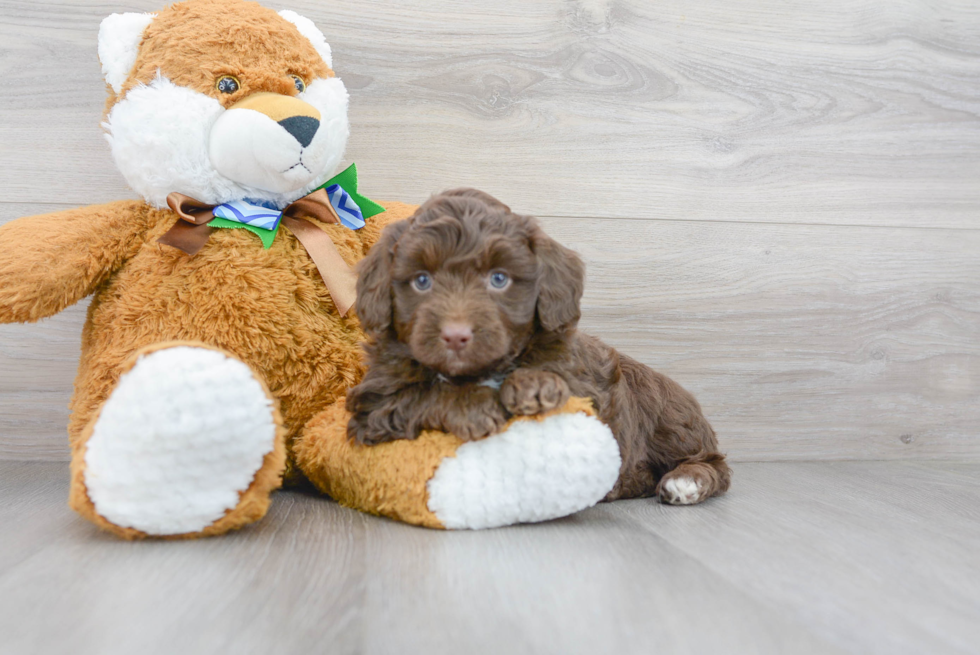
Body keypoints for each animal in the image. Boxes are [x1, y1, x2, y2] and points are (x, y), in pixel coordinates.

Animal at [348, 190, 732, 508]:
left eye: (498, 278)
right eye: (422, 281)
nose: (456, 335)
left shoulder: (582, 387)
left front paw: (532, 384)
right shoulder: (373, 405)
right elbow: (418, 395)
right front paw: (473, 407)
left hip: (670, 418)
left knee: (714, 463)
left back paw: (686, 481)